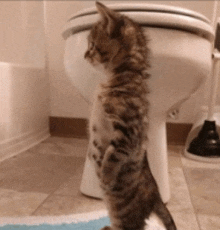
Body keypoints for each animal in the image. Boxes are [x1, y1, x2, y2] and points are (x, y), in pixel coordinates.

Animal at [84, 1, 177, 230]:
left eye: (92, 45)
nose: (84, 55)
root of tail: (156, 195)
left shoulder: (128, 133)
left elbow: (112, 154)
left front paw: (106, 175)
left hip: (123, 211)